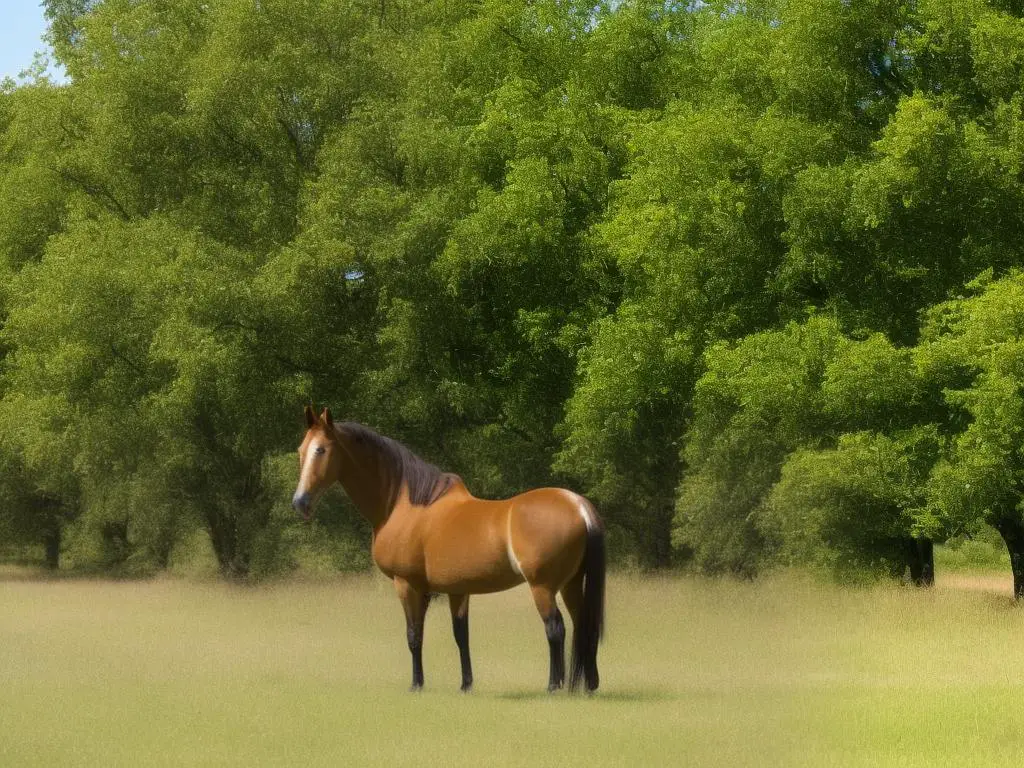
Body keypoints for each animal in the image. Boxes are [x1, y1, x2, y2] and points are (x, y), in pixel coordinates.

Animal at [292, 409, 602, 696]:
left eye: (321, 450)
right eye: (301, 451)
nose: (300, 502)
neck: (406, 504)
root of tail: (578, 506)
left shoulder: (408, 585)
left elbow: (414, 635)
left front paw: (416, 684)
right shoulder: (457, 590)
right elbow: (460, 636)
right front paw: (466, 685)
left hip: (543, 587)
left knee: (555, 628)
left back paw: (553, 686)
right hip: (571, 584)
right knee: (582, 624)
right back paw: (584, 686)